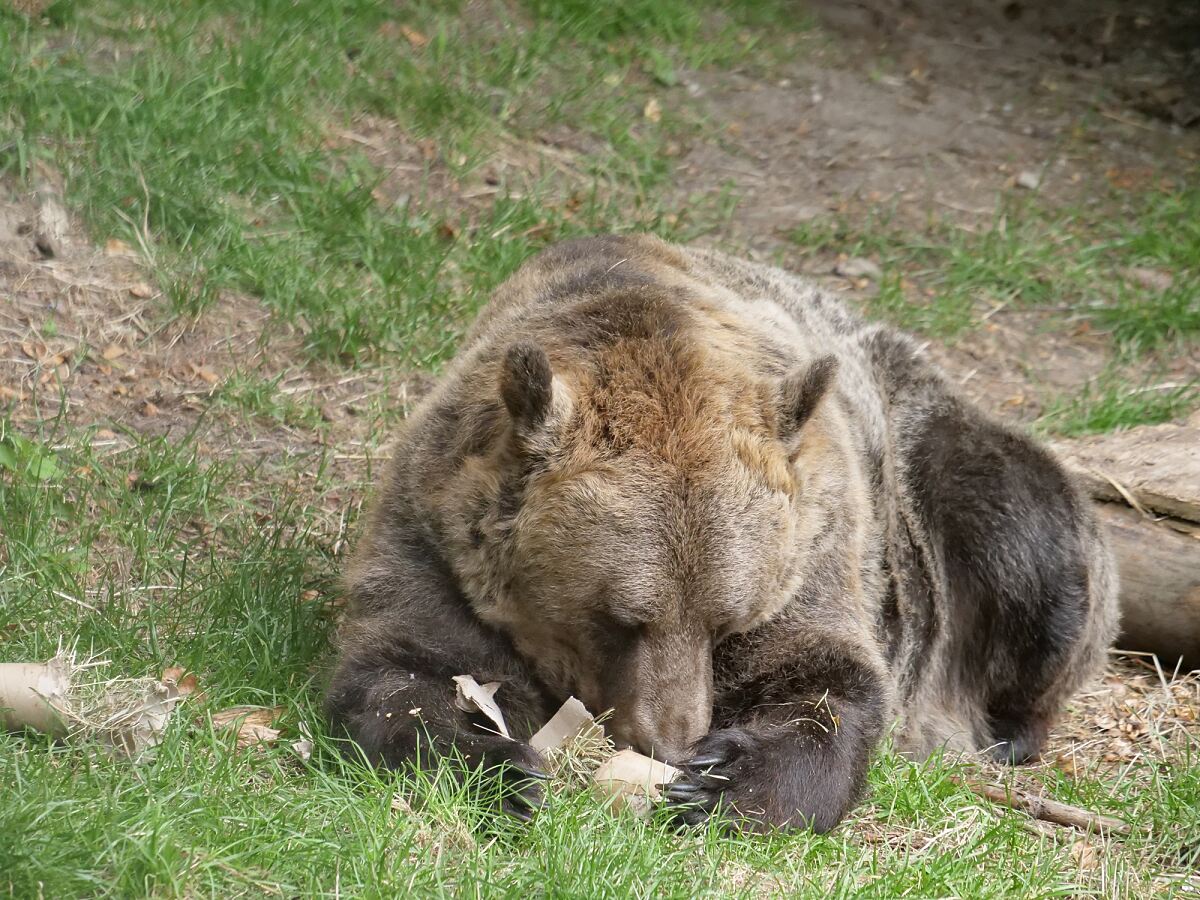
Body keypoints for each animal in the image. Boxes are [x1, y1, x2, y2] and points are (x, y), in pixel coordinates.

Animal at [324, 236, 1118, 835]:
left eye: (727, 621)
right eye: (617, 617)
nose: (670, 739)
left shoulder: (819, 547)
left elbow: (827, 683)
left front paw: (720, 783)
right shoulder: (436, 535)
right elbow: (404, 668)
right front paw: (501, 770)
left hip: (933, 477)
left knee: (1029, 550)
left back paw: (1008, 733)